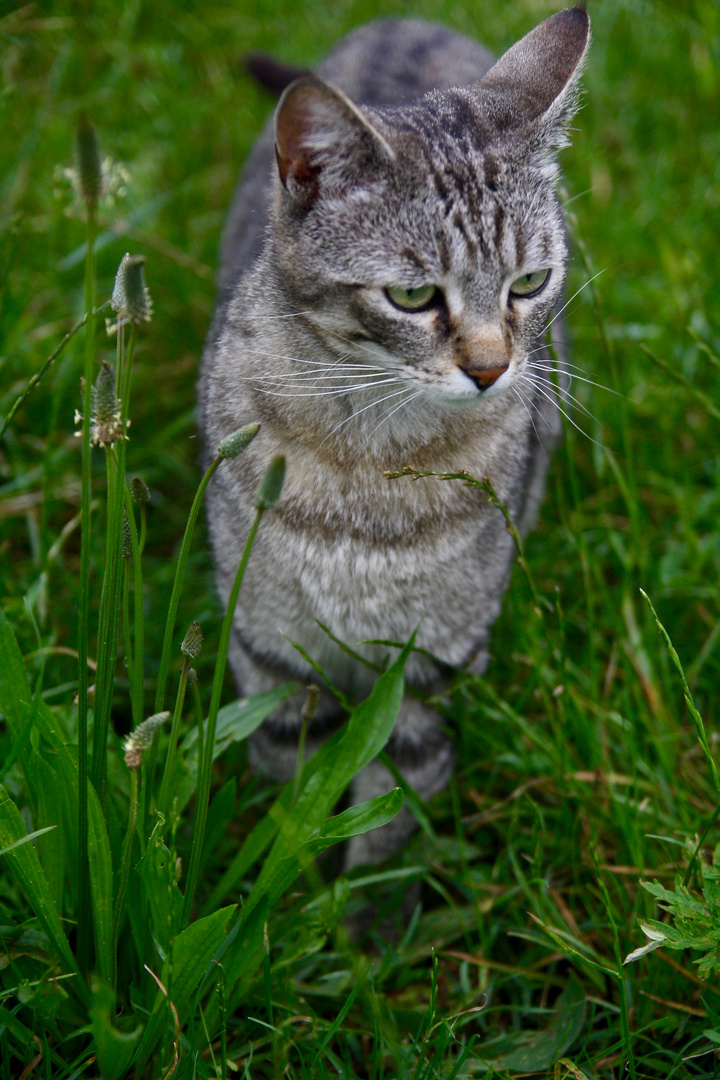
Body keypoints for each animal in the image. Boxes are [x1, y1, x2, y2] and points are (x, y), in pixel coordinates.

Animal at [198, 8, 591, 864]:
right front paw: (296, 884)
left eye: (529, 283)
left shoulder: (426, 669)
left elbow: (393, 802)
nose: (490, 368)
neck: (368, 462)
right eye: (413, 297)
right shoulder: (271, 656)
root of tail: (401, 18)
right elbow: (294, 798)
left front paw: (368, 896)